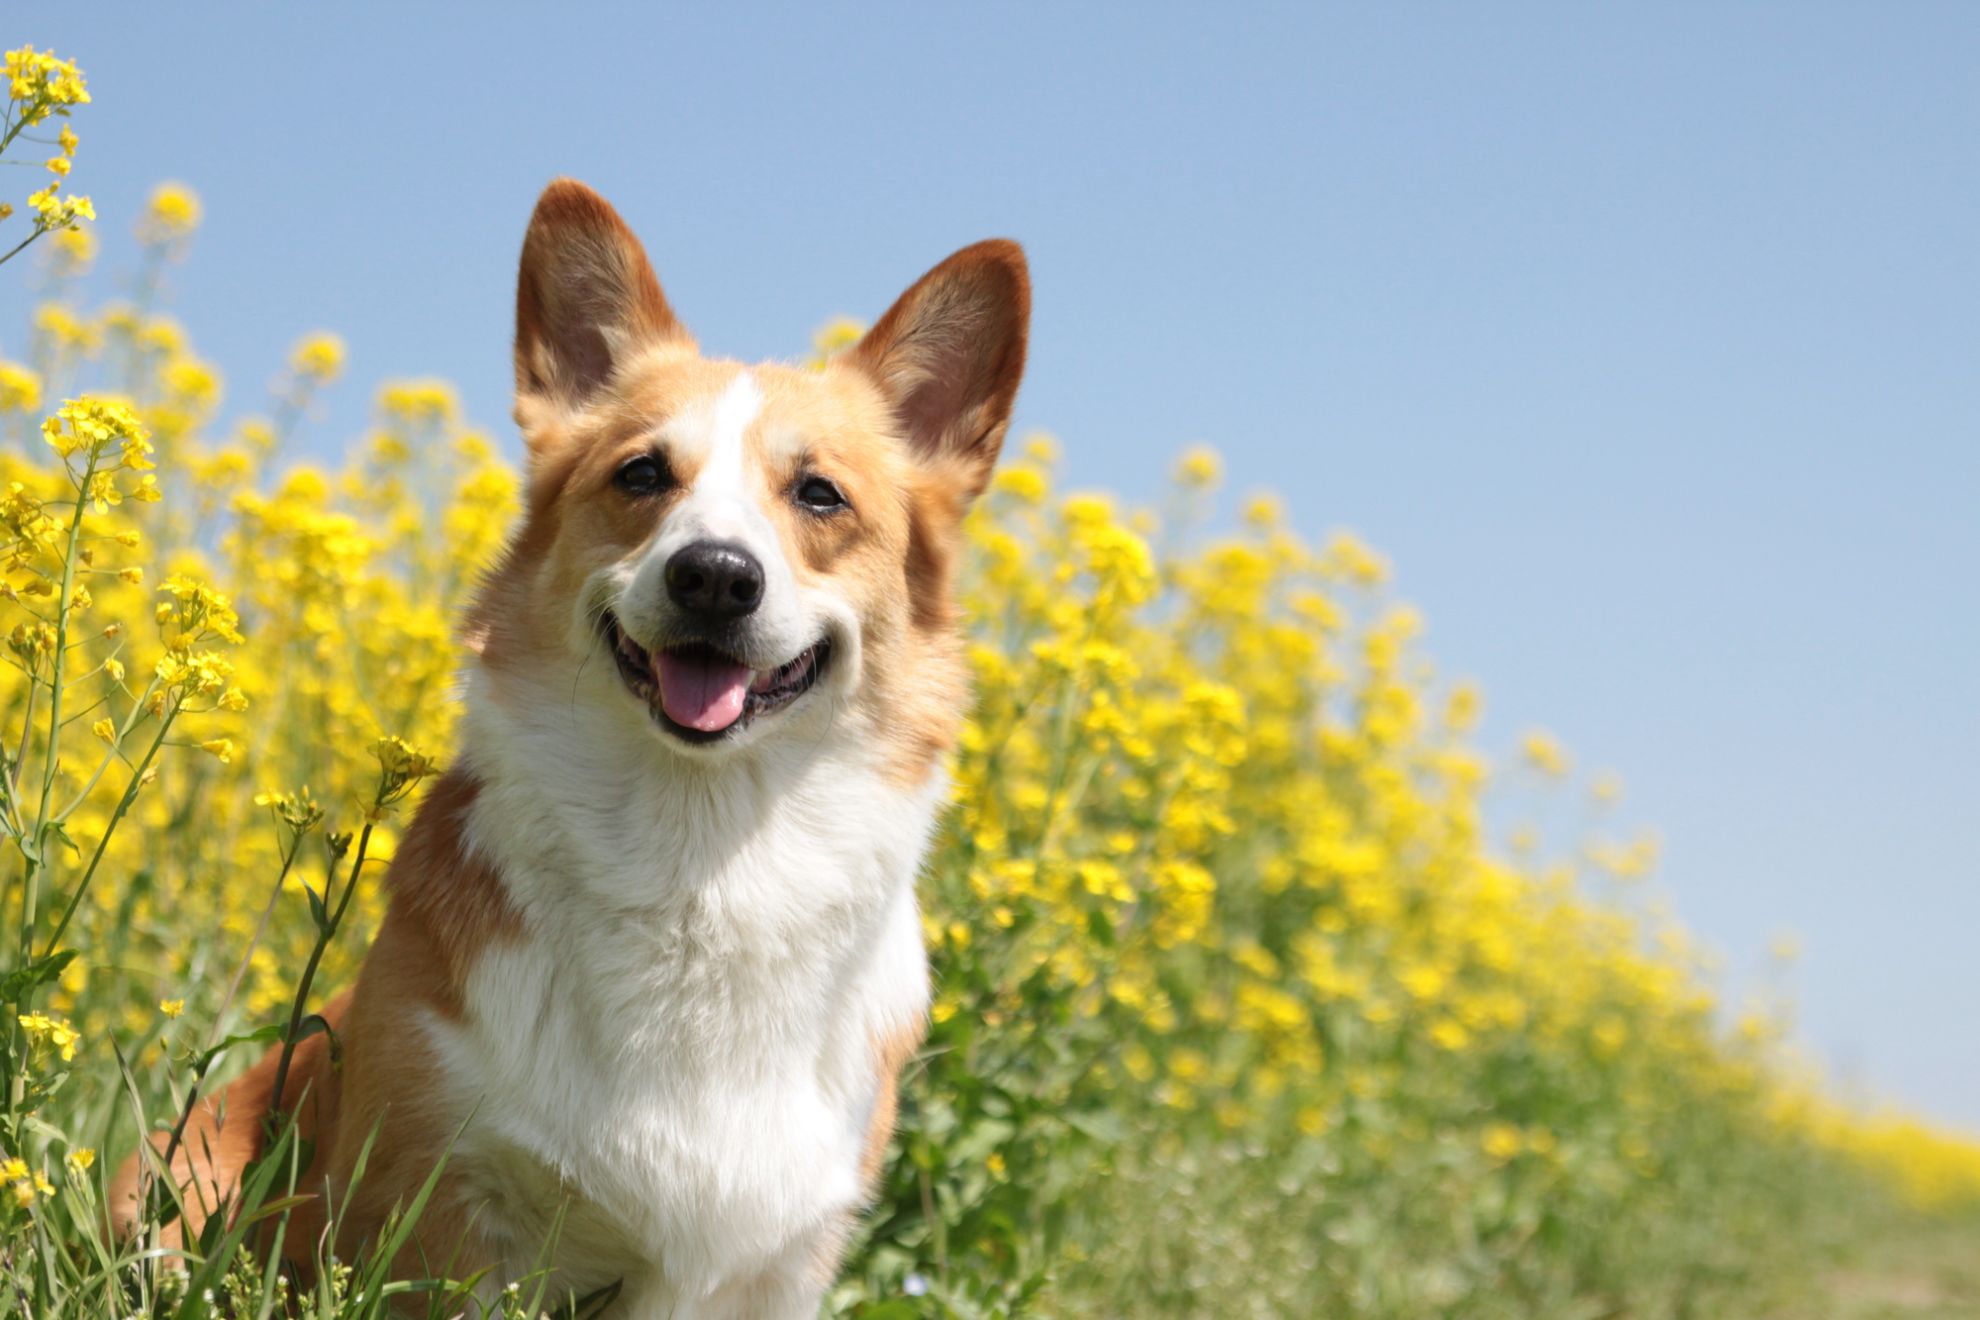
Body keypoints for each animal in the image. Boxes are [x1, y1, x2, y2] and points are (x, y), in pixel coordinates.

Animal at [113, 178, 1029, 1320]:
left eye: (820, 495)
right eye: (642, 474)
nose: (714, 575)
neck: (697, 857)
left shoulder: (785, 1259)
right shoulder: (441, 1200)